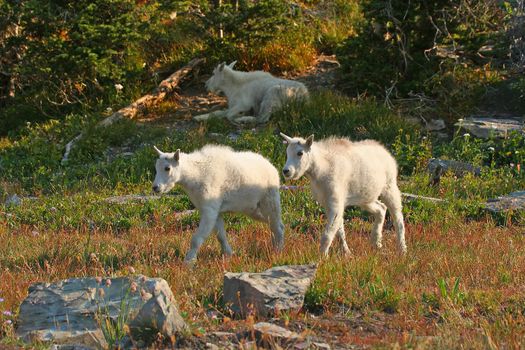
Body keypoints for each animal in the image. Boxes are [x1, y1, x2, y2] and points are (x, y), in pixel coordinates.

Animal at [149, 144, 284, 264]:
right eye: (156, 167)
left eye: (167, 168)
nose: (155, 187)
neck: (195, 174)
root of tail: (272, 167)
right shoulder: (216, 212)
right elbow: (221, 236)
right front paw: (229, 254)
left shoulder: (210, 209)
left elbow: (197, 239)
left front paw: (188, 262)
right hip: (253, 209)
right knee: (273, 224)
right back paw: (274, 245)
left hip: (269, 200)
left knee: (277, 225)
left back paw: (278, 251)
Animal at [280, 133, 408, 256]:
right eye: (287, 152)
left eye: (300, 153)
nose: (286, 171)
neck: (321, 169)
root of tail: (387, 154)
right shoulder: (328, 202)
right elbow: (339, 230)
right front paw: (346, 252)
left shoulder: (335, 201)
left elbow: (328, 234)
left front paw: (322, 257)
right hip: (365, 197)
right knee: (381, 208)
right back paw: (376, 243)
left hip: (389, 187)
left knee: (398, 217)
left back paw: (402, 249)